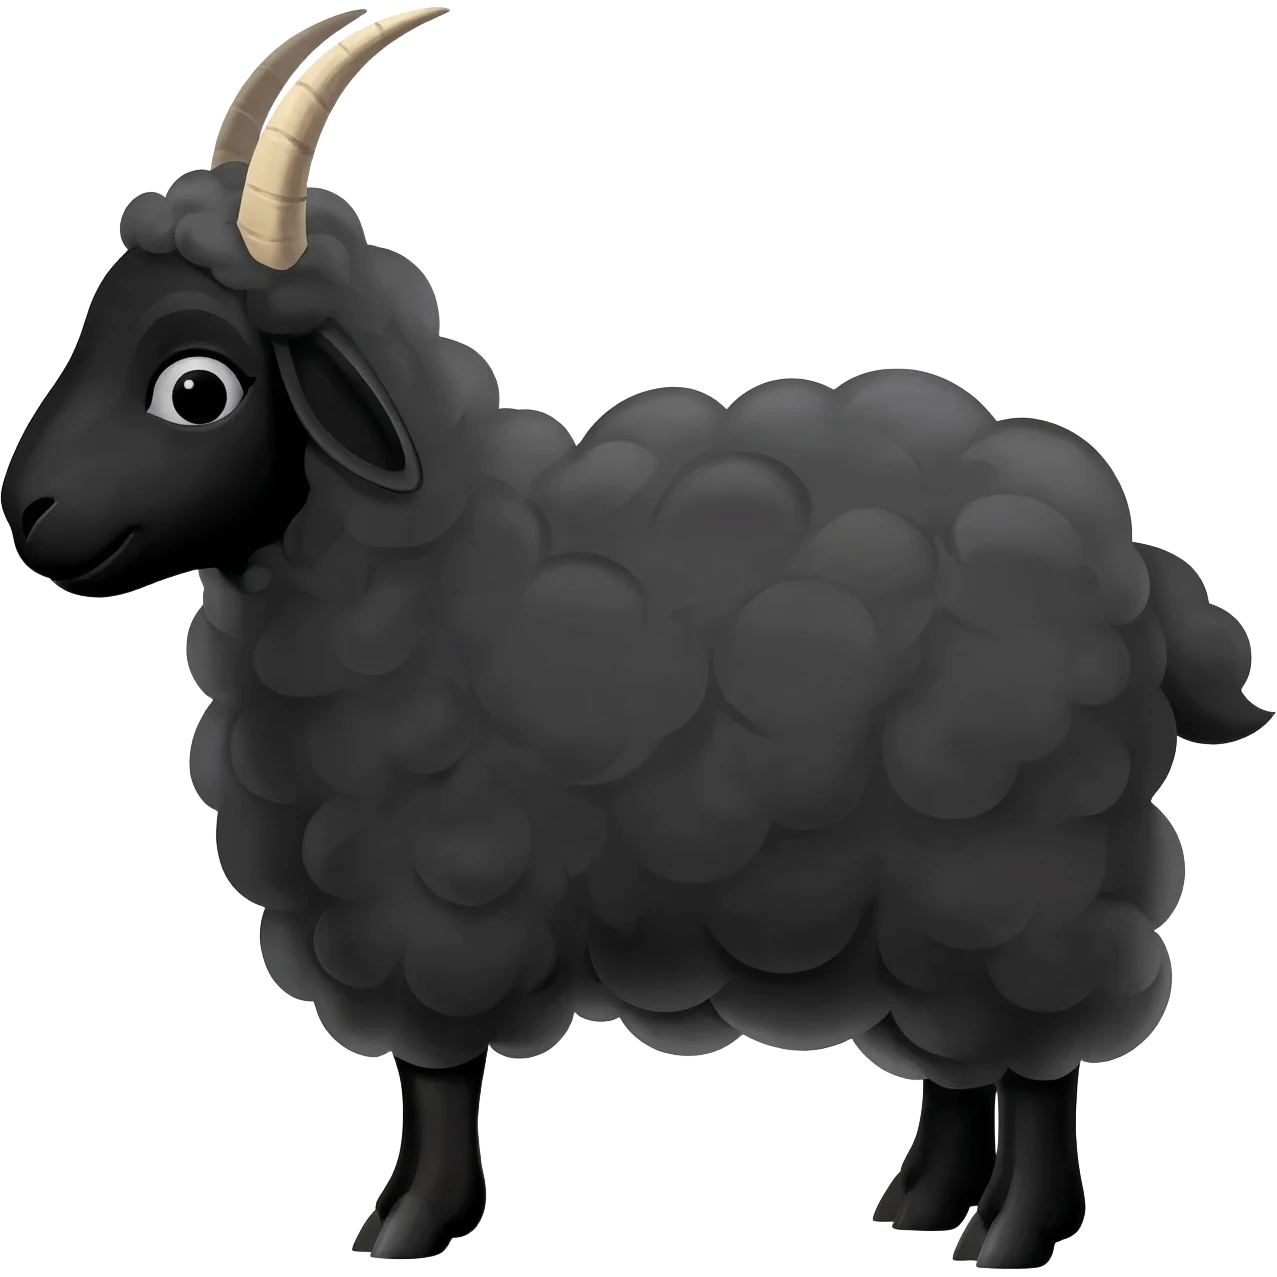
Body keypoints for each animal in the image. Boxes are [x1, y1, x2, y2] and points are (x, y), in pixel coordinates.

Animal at [2, 7, 1270, 1268]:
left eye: (197, 387)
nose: (29, 512)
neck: (443, 557)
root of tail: (1138, 566)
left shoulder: (440, 894)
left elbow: (435, 1076)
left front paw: (408, 1222)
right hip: (929, 897)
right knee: (958, 1058)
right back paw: (917, 1201)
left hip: (1022, 874)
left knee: (1038, 1065)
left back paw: (1008, 1230)